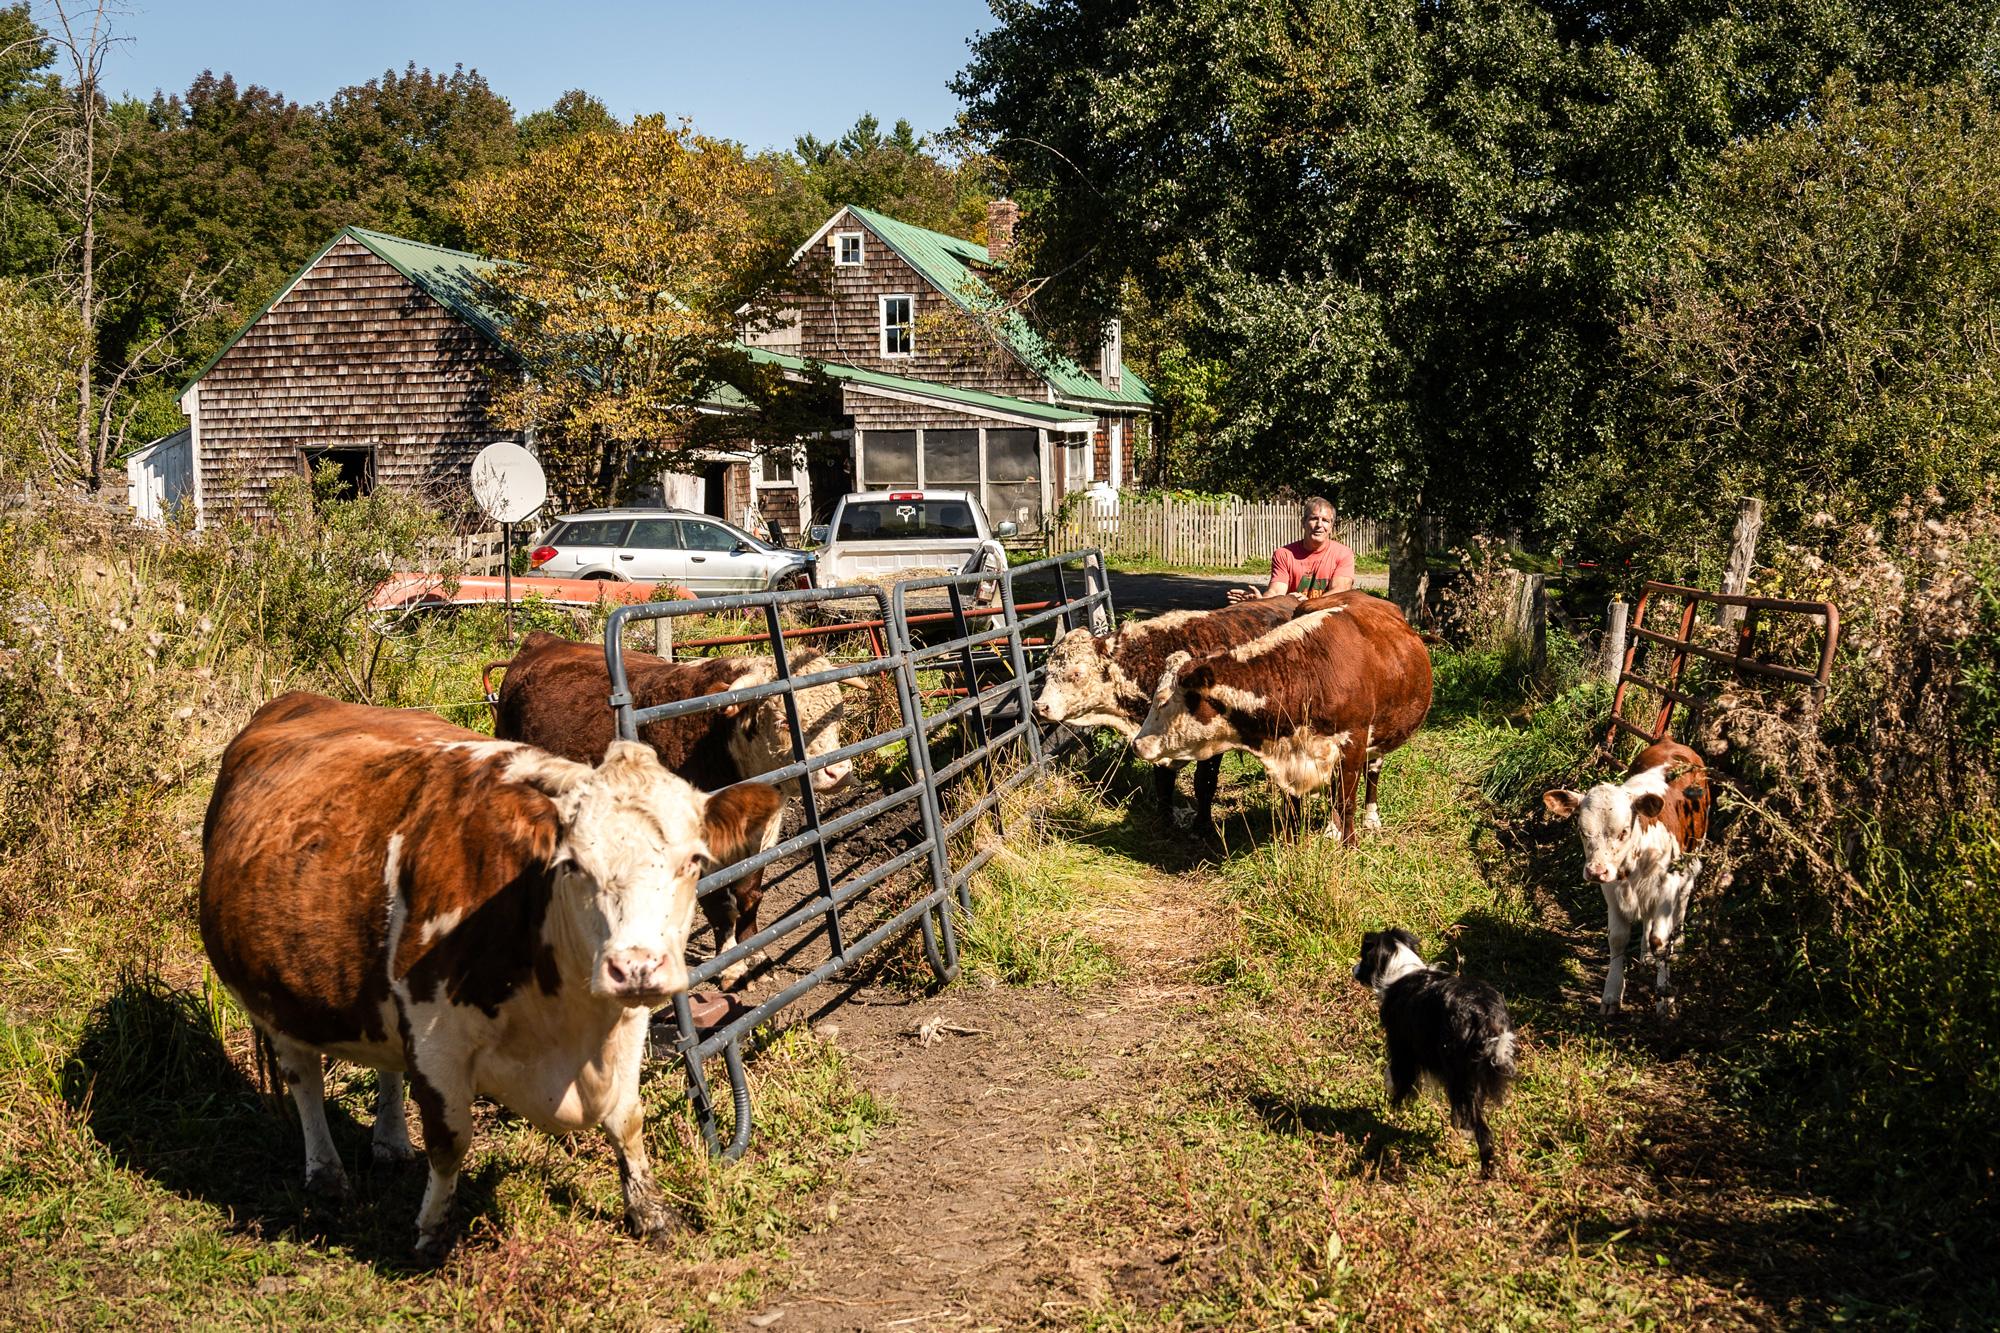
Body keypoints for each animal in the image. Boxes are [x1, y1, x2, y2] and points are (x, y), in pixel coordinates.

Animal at [199, 692, 781, 1260]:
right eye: (572, 865)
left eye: (694, 860)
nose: (634, 966)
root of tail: (292, 702)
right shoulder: (435, 1037)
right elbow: (450, 1141)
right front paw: (433, 1233)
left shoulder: (624, 1022)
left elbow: (627, 1117)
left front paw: (652, 1214)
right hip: (273, 995)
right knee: (304, 1078)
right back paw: (326, 1175)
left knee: (384, 1066)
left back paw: (390, 1142)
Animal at [490, 631, 856, 985]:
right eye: (783, 720)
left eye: (837, 714)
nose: (838, 772)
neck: (719, 742)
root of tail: (543, 640)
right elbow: (718, 903)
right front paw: (732, 967)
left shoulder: (762, 837)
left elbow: (750, 895)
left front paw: (756, 955)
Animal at [1032, 597, 1299, 830]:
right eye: (1047, 671)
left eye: (1077, 673)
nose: (1039, 707)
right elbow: (1163, 782)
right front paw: (1164, 820)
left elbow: (1204, 783)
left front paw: (1202, 827)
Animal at [1131, 594, 1433, 843]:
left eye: (1163, 701)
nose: (1137, 745)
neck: (1311, 672)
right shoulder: (1289, 752)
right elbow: (1293, 805)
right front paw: (1291, 841)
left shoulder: (1354, 742)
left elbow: (1346, 801)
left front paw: (1349, 847)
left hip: (1378, 737)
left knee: (1372, 773)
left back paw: (1370, 819)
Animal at [1542, 740, 1711, 1017]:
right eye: (1582, 831)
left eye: (1623, 831)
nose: (1596, 871)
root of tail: (1669, 741)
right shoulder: (1612, 889)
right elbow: (1618, 938)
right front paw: (1611, 994)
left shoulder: (1667, 886)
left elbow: (1660, 940)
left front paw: (1665, 999)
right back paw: (1646, 956)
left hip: (1693, 856)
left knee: (1684, 899)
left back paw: (1678, 944)